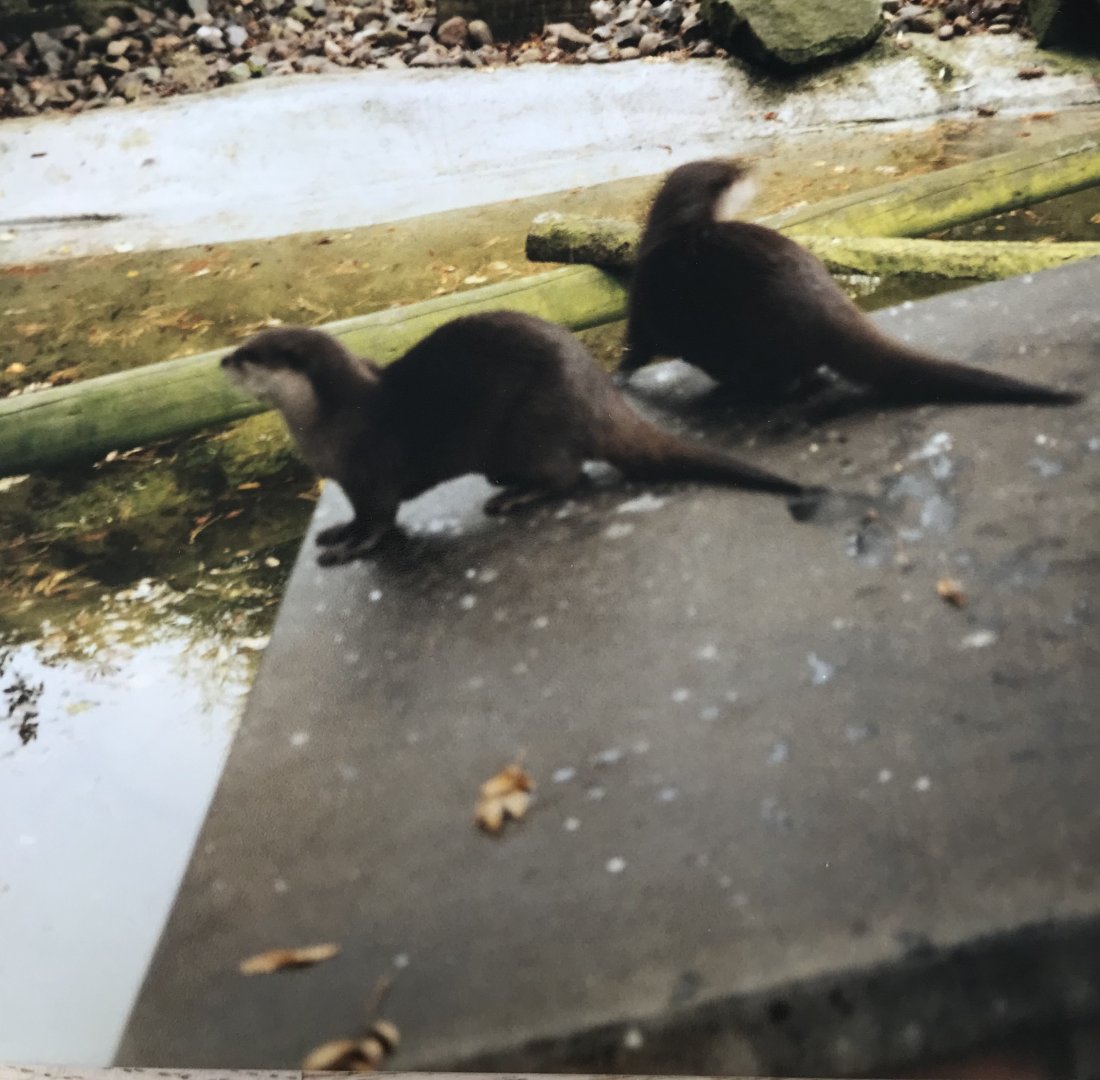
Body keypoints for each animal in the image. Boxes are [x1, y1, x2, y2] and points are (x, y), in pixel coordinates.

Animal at [222, 311, 812, 566]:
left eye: (251, 355)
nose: (224, 360)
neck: (333, 419)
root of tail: (596, 394)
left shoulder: (371, 472)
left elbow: (380, 521)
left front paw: (349, 547)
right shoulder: (348, 481)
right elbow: (358, 515)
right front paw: (335, 531)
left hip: (536, 424)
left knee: (571, 475)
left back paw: (514, 496)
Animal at [619, 159, 1082, 407]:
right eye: (734, 170)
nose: (751, 166)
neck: (670, 234)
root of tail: (821, 307)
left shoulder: (644, 301)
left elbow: (635, 349)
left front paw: (621, 378)